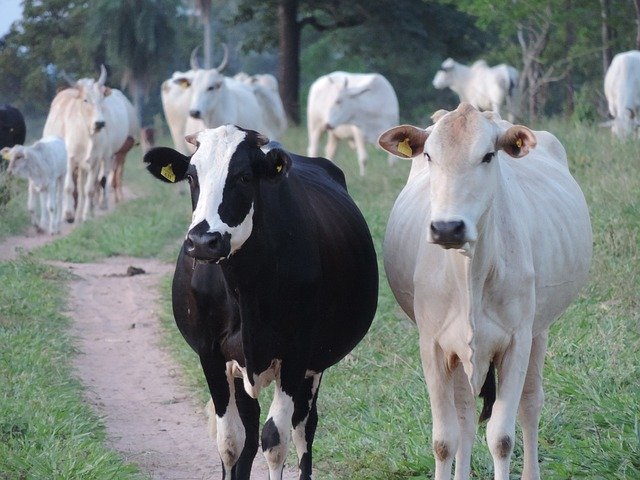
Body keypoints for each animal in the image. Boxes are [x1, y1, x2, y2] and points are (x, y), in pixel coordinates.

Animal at [43, 64, 138, 222]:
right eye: (85, 100)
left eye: (101, 99)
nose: (100, 123)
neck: (86, 134)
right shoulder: (70, 160)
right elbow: (69, 187)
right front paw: (68, 214)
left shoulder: (96, 160)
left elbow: (90, 188)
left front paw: (87, 215)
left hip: (107, 158)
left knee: (101, 180)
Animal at [142, 124, 378, 480]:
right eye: (192, 177)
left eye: (243, 177)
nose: (203, 241)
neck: (243, 288)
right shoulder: (210, 352)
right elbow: (230, 440)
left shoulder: (296, 354)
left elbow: (275, 439)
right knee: (250, 431)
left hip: (314, 365)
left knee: (302, 427)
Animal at [378, 102, 592, 480]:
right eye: (429, 155)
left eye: (489, 155)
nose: (448, 227)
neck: (470, 275)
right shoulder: (432, 345)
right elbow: (444, 439)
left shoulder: (516, 342)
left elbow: (502, 438)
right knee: (465, 415)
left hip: (538, 332)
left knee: (530, 404)